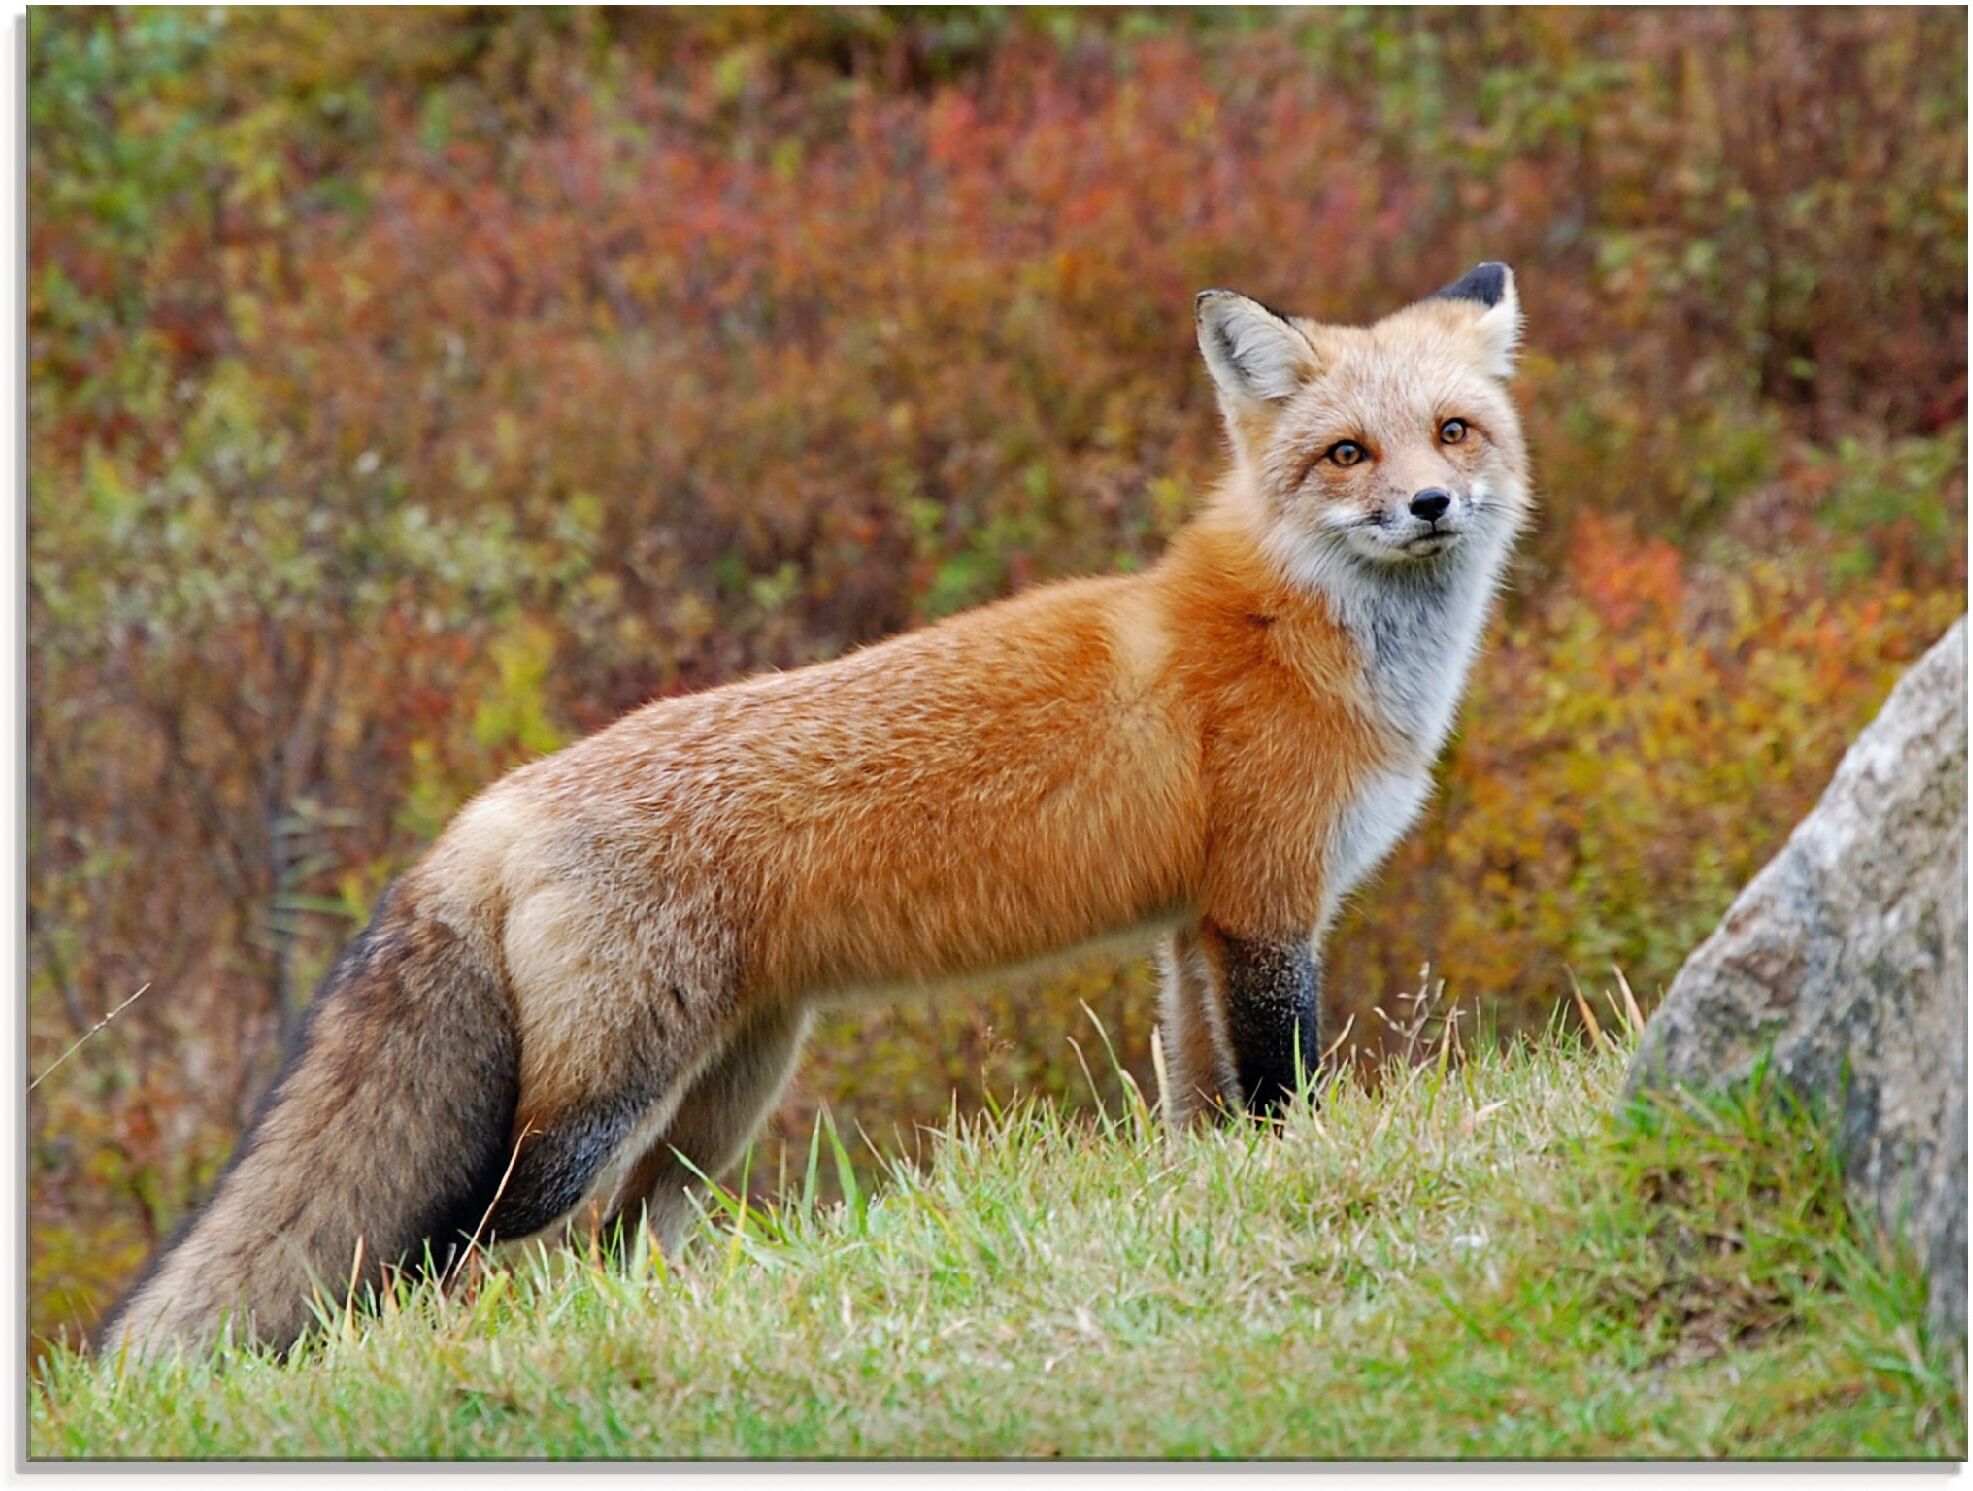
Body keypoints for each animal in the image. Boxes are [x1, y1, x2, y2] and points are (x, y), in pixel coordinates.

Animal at [97, 263, 1530, 1359]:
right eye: (1346, 453)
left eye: (1453, 431)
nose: (1427, 504)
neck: (1295, 632)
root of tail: (491, 807)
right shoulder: (1266, 909)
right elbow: (1285, 1095)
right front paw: (1295, 1176)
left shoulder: (1194, 930)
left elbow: (1200, 1109)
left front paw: (1205, 1202)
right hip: (597, 1106)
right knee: (455, 1244)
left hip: (724, 1097)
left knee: (620, 1240)